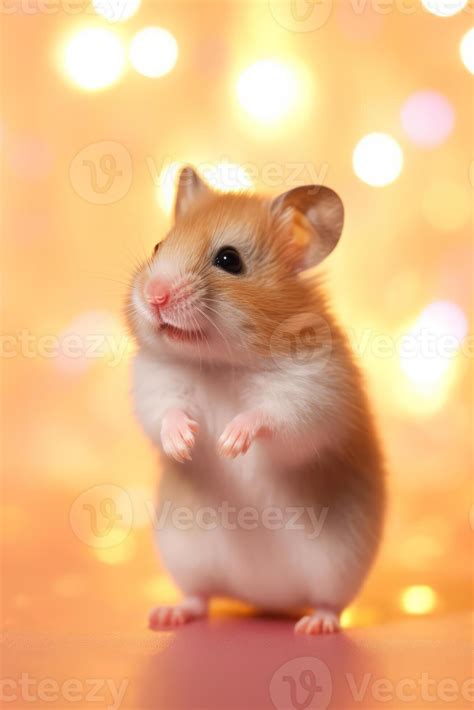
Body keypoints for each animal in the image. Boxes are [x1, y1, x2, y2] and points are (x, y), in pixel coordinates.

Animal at [127, 166, 385, 635]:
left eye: (230, 260)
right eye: (158, 246)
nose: (154, 295)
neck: (222, 362)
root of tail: (265, 600)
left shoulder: (312, 393)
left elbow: (271, 417)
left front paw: (230, 443)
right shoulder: (156, 382)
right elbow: (166, 412)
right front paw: (186, 442)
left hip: (339, 571)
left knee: (329, 605)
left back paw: (314, 627)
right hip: (185, 556)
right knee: (199, 597)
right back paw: (166, 616)